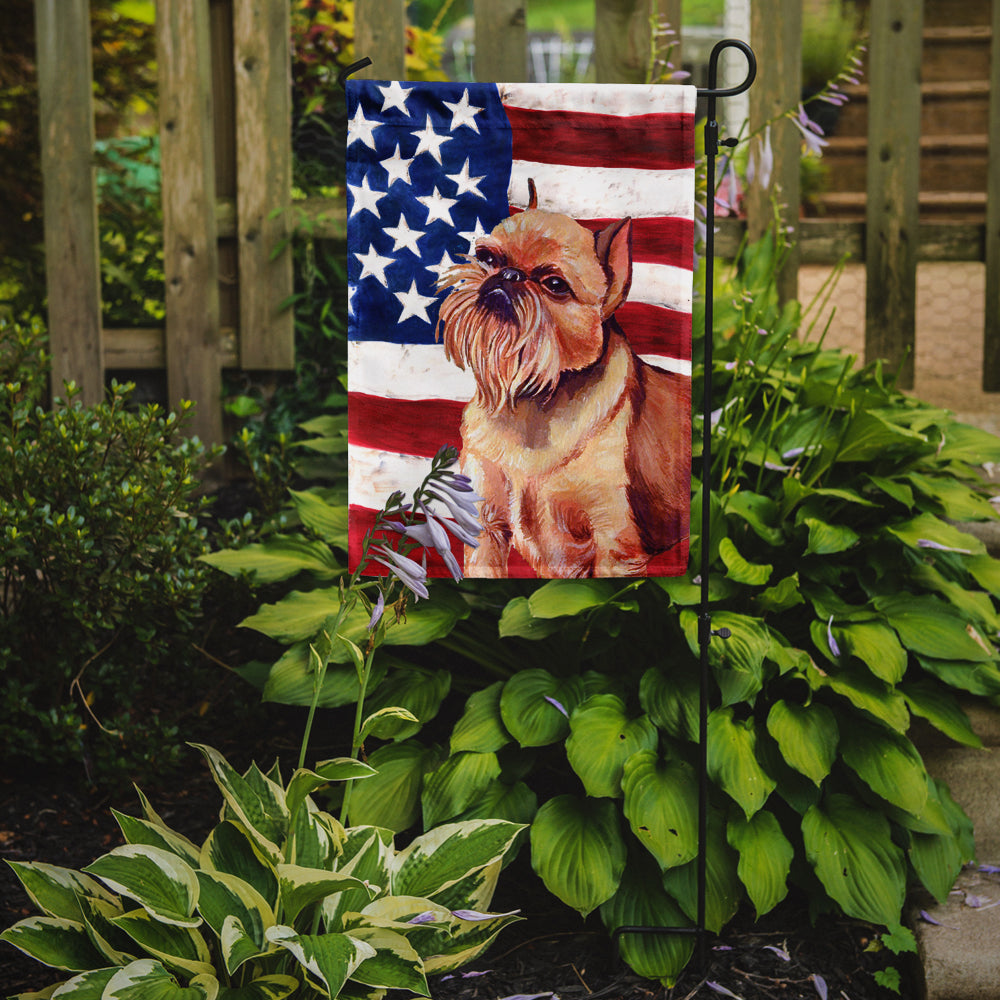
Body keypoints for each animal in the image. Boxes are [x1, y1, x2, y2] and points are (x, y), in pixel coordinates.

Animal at [438, 183, 688, 576]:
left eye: (555, 284)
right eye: (487, 257)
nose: (509, 275)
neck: (531, 400)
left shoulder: (615, 549)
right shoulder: (485, 528)